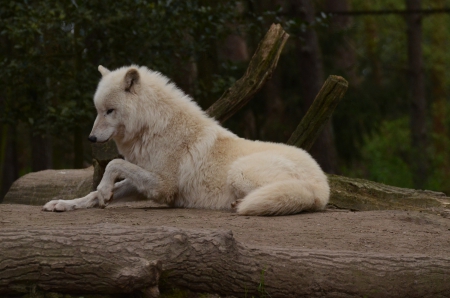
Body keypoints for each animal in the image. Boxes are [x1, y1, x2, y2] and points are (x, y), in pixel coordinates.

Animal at [43, 65, 330, 215]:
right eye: (97, 110)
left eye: (109, 111)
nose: (91, 138)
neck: (154, 127)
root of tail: (322, 186)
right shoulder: (146, 180)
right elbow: (95, 191)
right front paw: (66, 203)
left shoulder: (164, 186)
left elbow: (114, 164)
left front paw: (104, 191)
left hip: (239, 172)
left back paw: (239, 204)